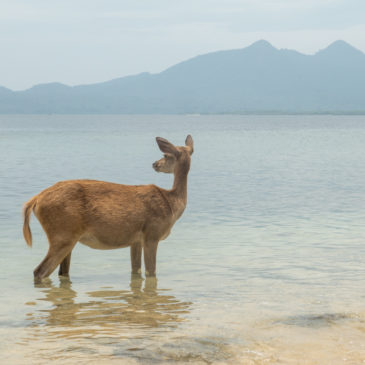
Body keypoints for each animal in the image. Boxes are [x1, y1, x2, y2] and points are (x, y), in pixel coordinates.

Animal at [22, 135, 193, 280]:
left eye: (166, 156)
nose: (154, 164)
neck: (172, 204)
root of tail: (35, 200)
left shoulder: (136, 240)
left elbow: (136, 271)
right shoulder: (152, 234)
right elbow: (151, 272)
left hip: (66, 237)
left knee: (61, 272)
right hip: (62, 234)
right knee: (39, 271)